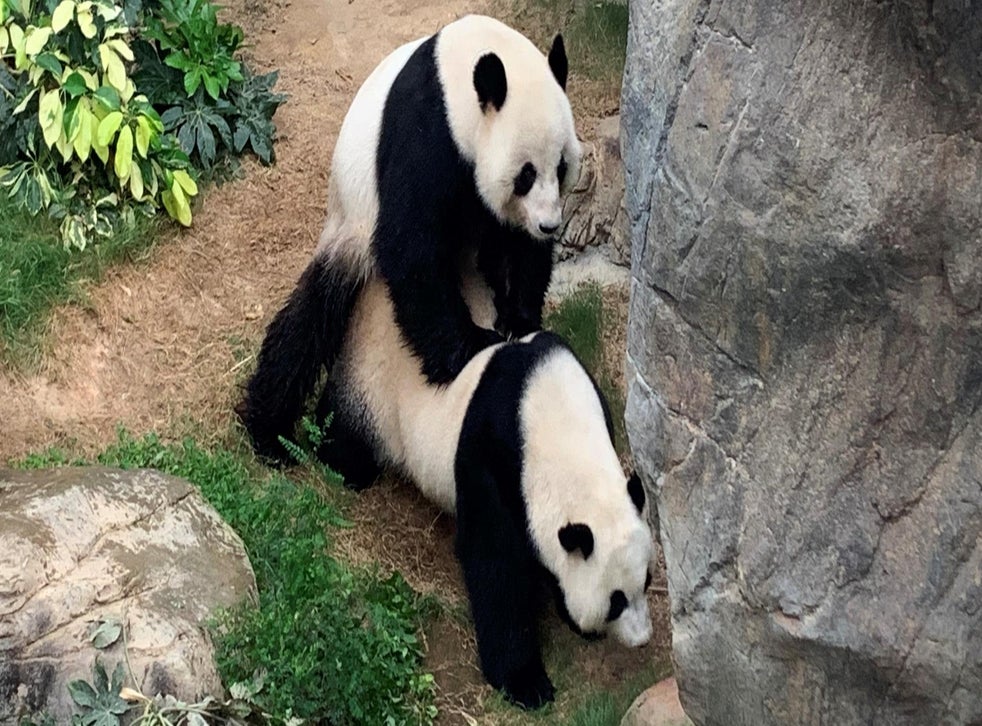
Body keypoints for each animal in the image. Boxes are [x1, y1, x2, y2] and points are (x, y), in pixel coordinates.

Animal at [320, 258, 656, 712]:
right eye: (616, 601)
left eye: (648, 580)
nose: (642, 639)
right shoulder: (491, 454)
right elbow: (494, 563)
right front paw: (526, 682)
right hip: (374, 382)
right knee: (347, 429)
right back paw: (341, 463)